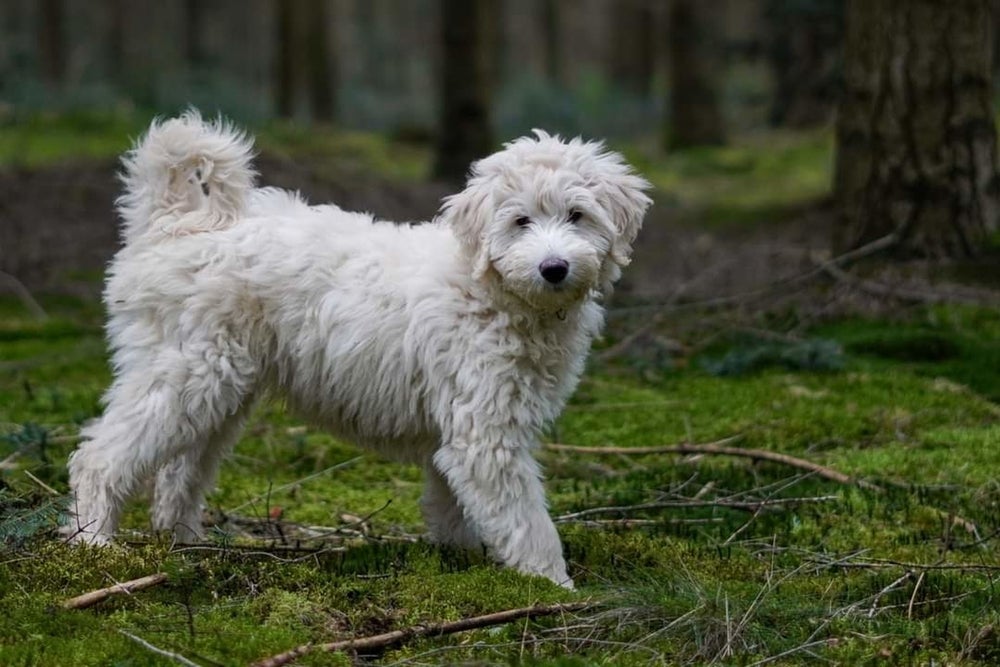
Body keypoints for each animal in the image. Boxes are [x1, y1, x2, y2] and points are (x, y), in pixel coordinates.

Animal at [66, 112, 652, 588]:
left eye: (577, 215)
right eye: (520, 221)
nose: (554, 268)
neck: (492, 289)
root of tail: (176, 224)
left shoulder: (458, 429)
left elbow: (451, 502)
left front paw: (462, 558)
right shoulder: (487, 434)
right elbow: (527, 521)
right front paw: (556, 586)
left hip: (220, 389)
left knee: (181, 470)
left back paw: (188, 542)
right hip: (186, 371)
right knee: (101, 455)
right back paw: (93, 542)